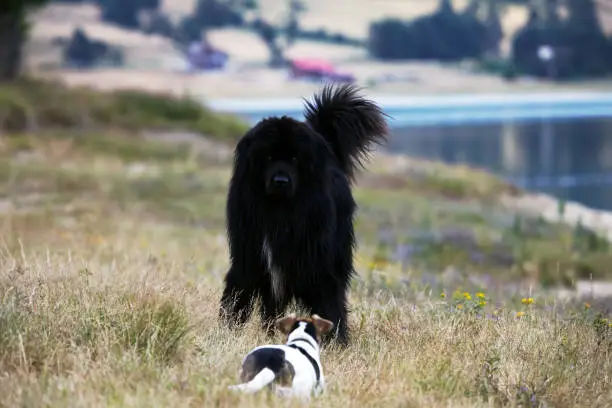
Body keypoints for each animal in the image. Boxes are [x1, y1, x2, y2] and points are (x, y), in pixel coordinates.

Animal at [219, 83, 388, 344]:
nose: (280, 181)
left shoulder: (318, 264)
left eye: (295, 158)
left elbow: (329, 303)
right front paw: (228, 331)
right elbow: (238, 296)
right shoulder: (249, 257)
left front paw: (336, 342)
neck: (280, 212)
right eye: (268, 157)